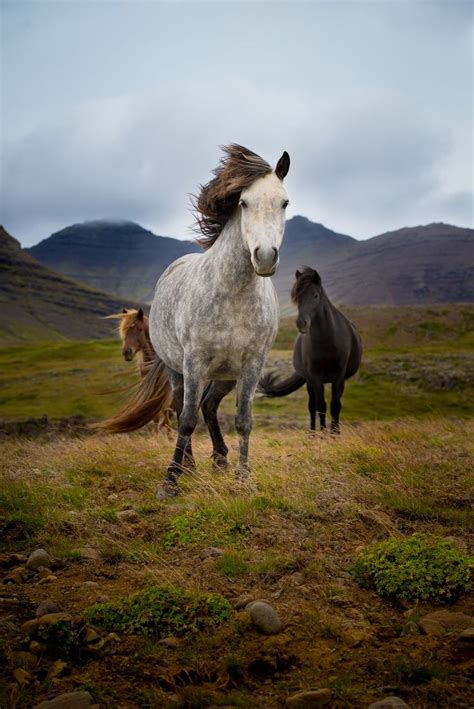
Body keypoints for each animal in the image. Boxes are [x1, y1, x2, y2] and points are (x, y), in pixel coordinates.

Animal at [262, 266, 362, 428]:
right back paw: (313, 431)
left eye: (315, 296)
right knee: (312, 406)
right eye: (297, 297)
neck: (327, 340)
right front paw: (323, 432)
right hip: (309, 381)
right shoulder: (316, 377)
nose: (301, 323)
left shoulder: (339, 376)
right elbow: (320, 406)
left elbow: (335, 406)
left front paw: (335, 432)